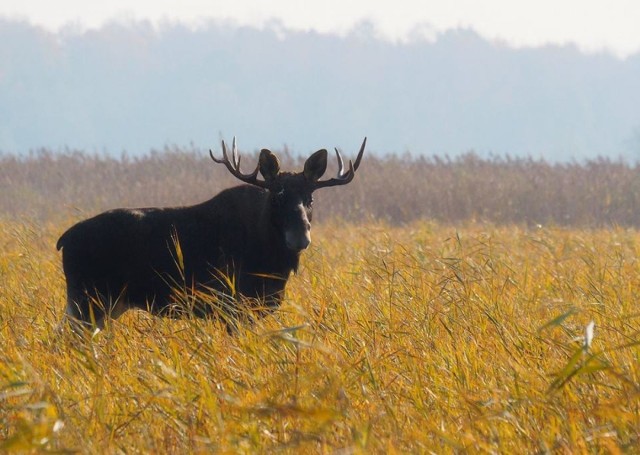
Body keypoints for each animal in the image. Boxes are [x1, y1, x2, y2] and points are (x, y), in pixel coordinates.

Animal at [57, 137, 368, 334]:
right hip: (87, 300)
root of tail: (62, 241)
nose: (300, 237)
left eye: (310, 199)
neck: (273, 263)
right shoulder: (231, 304)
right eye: (277, 198)